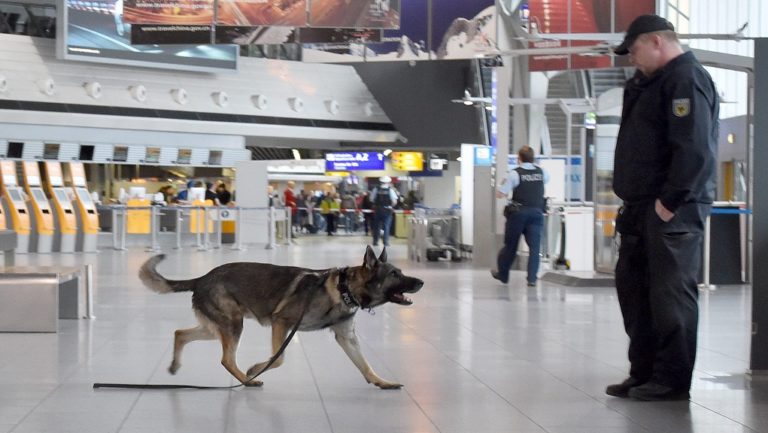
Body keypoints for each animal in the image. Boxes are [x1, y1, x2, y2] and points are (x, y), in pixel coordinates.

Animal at [141, 246, 424, 388]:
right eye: (395, 274)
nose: (421, 282)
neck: (344, 288)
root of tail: (201, 278)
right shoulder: (282, 323)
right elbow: (279, 358)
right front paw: (257, 367)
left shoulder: (346, 338)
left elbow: (365, 364)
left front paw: (380, 381)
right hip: (233, 325)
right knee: (226, 359)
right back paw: (247, 380)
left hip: (216, 328)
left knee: (180, 334)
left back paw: (175, 364)